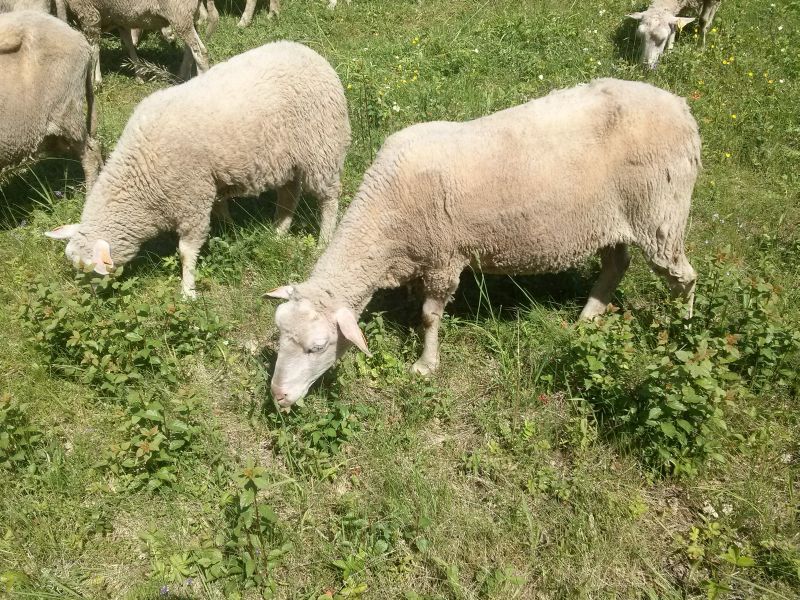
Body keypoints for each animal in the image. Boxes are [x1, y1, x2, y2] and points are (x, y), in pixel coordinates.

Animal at [45, 39, 352, 298]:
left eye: (91, 271)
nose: (90, 298)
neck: (140, 176)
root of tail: (311, 54)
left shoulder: (190, 198)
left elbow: (185, 252)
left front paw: (188, 292)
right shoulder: (205, 186)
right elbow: (220, 210)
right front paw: (228, 231)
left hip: (321, 148)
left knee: (328, 198)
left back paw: (324, 240)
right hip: (287, 159)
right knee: (289, 194)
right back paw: (278, 232)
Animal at [64, 0, 217, 84]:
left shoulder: (89, 13)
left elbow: (93, 49)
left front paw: (95, 81)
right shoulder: (120, 19)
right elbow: (129, 45)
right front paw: (139, 74)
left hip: (179, 13)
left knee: (200, 52)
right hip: (188, 16)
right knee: (190, 50)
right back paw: (181, 77)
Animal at [264, 77, 700, 410]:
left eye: (318, 347)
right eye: (280, 334)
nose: (278, 397)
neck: (385, 215)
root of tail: (681, 108)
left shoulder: (444, 257)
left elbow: (430, 315)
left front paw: (425, 364)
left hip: (660, 212)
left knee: (684, 278)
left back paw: (683, 333)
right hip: (611, 218)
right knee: (617, 265)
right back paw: (587, 318)